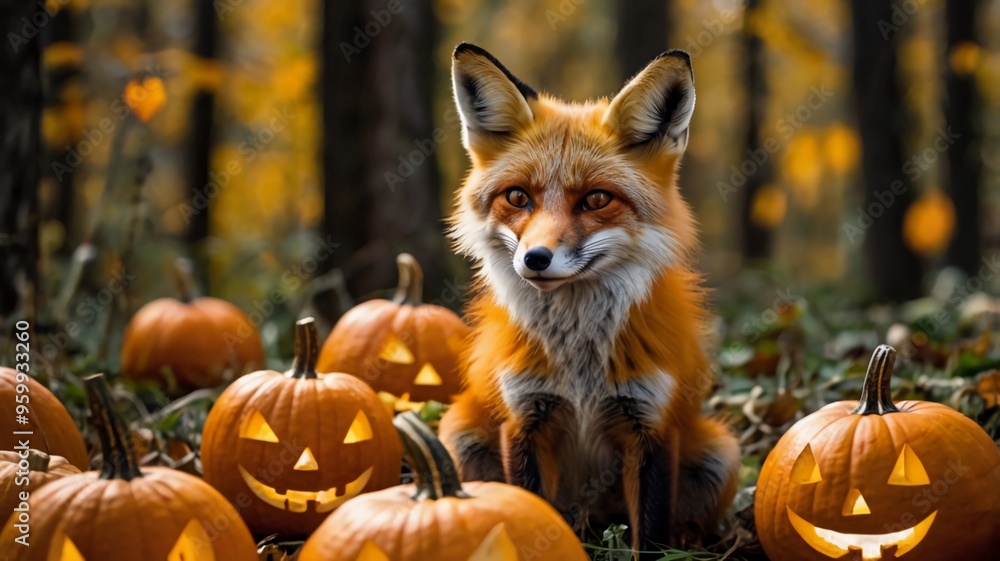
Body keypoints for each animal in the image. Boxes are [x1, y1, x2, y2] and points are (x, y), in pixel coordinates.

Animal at [439, 43, 740, 551]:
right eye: (517, 197)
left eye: (597, 199)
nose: (535, 258)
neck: (580, 363)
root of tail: (593, 522)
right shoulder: (523, 419)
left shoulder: (650, 425)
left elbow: (650, 537)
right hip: (461, 432)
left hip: (719, 452)